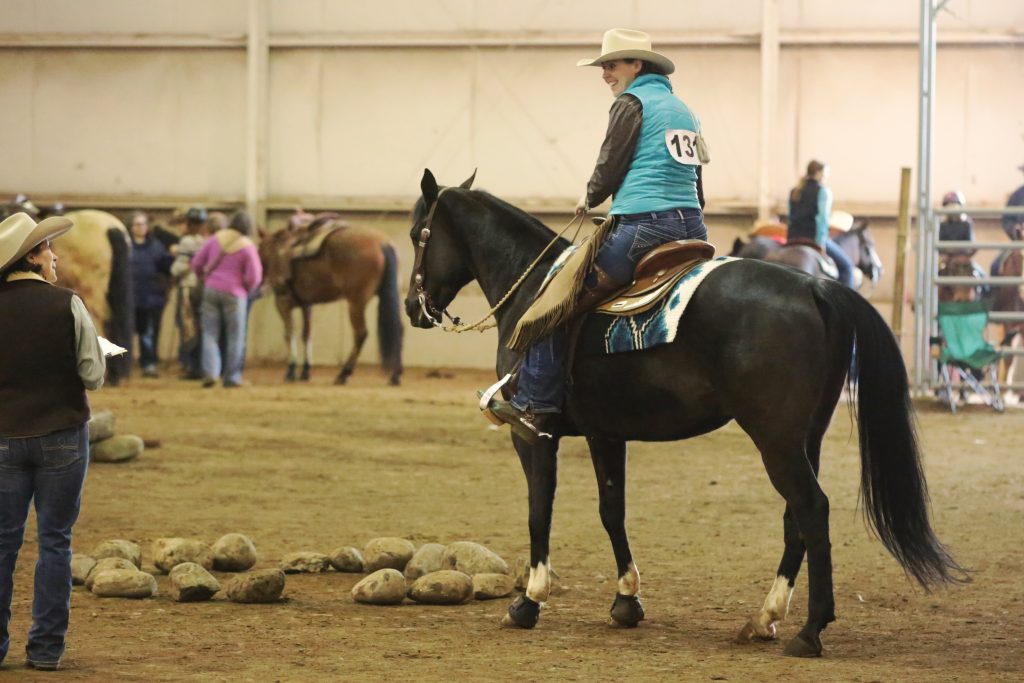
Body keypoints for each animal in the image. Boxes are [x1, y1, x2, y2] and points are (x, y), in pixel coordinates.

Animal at [258, 214, 405, 385]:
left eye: (259, 252)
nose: (262, 283)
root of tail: (384, 244)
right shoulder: (307, 305)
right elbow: (306, 334)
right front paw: (305, 371)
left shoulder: (283, 302)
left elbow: (289, 334)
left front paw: (291, 371)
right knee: (399, 330)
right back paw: (395, 374)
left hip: (356, 302)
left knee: (360, 333)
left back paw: (344, 373)